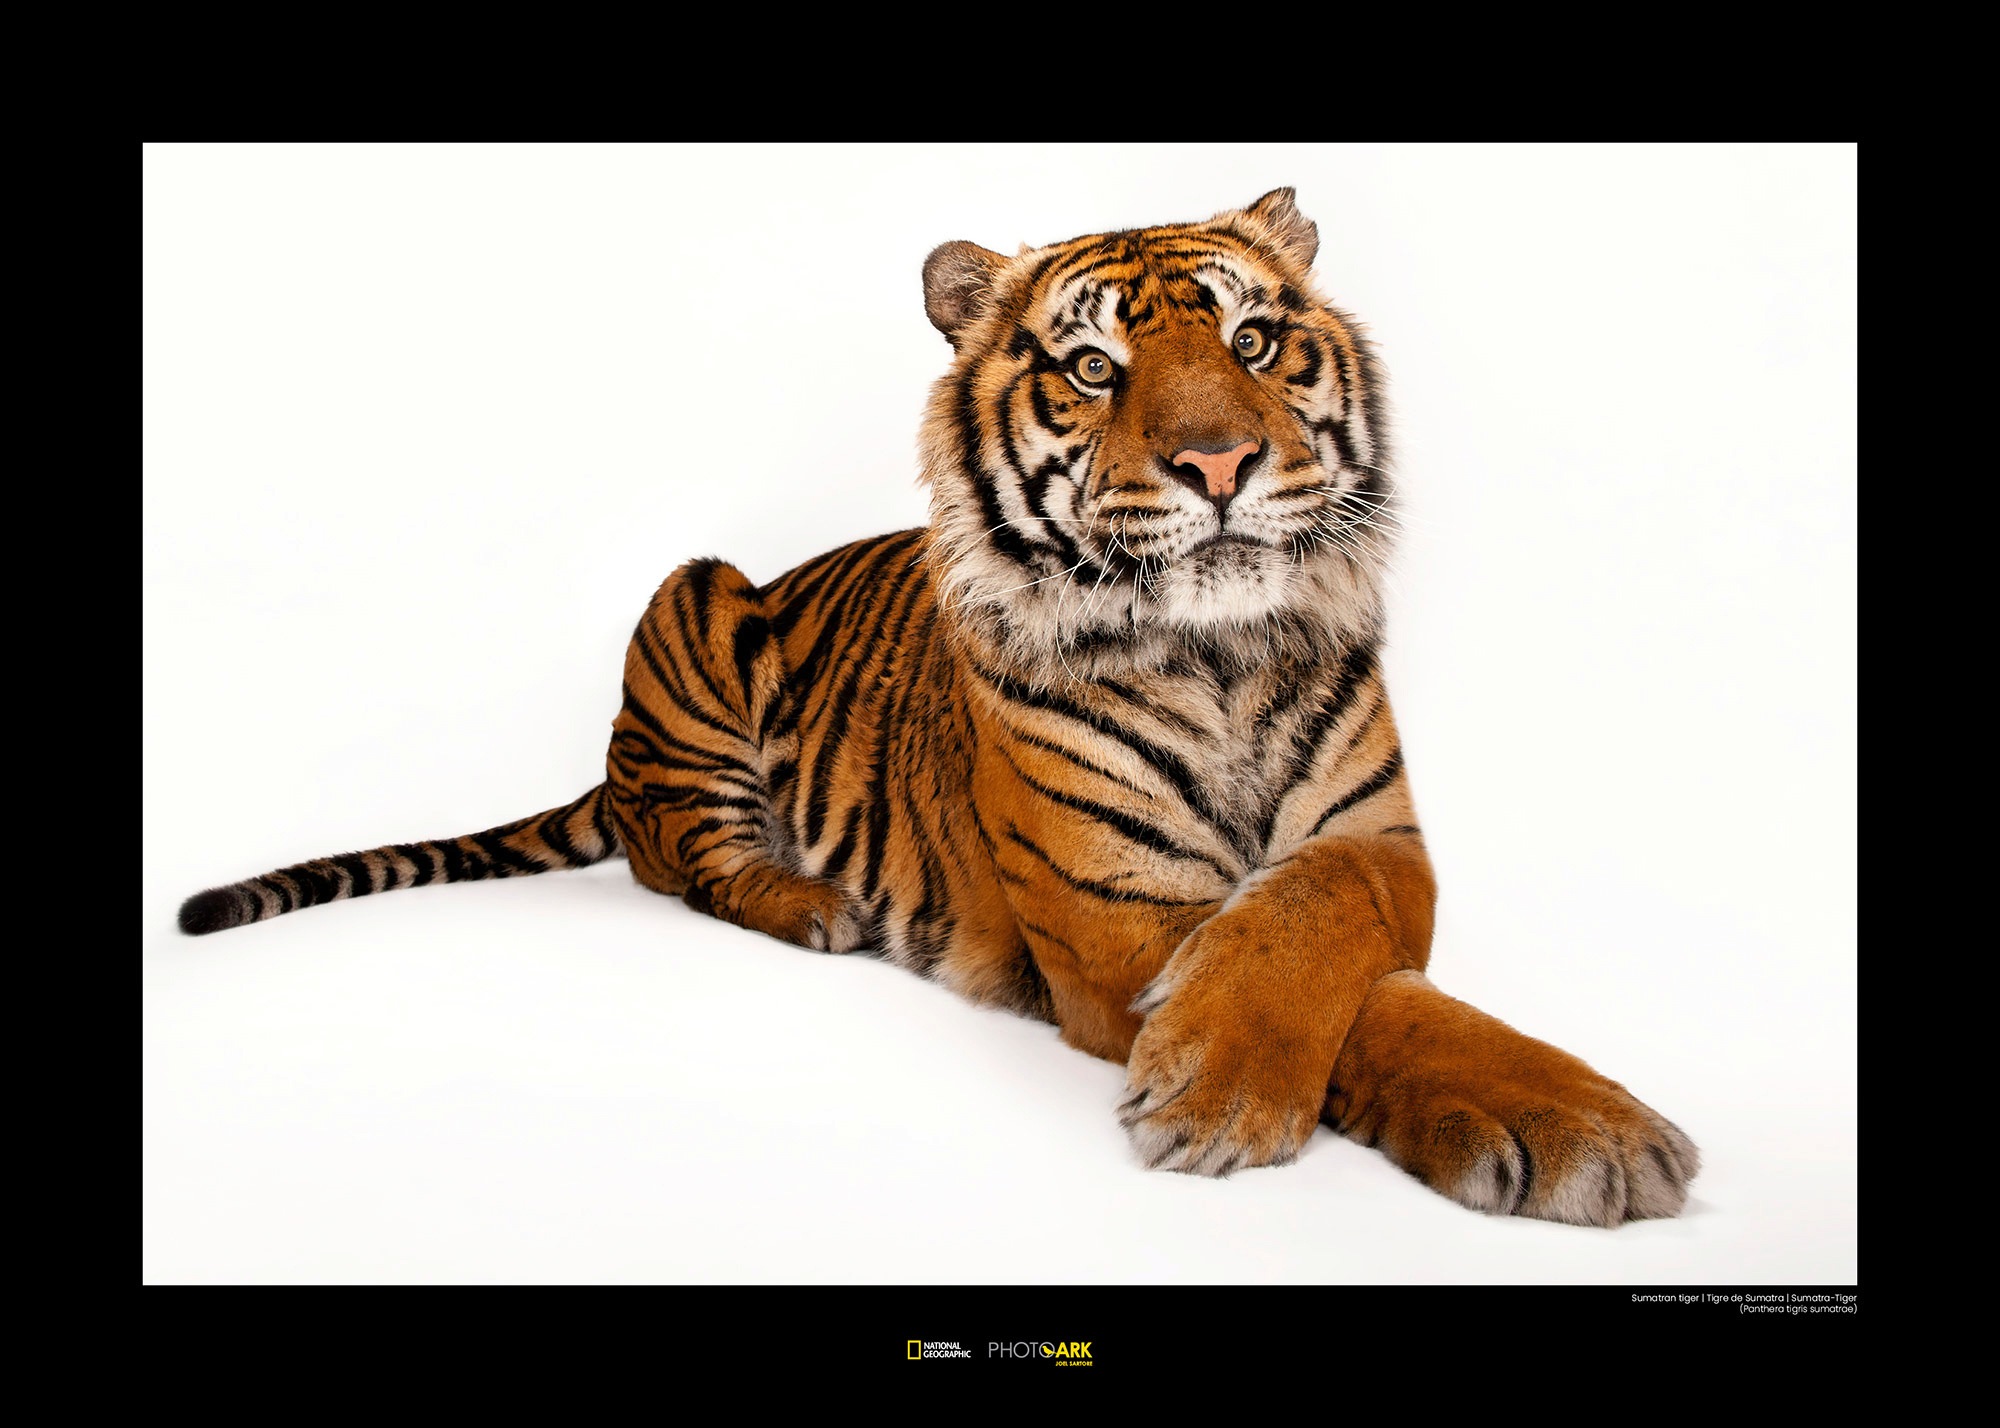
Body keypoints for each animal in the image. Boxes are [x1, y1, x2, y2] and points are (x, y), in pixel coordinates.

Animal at [178, 188, 1699, 1227]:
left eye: (1258, 342)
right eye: (1091, 369)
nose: (1219, 463)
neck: (1216, 657)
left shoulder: (1385, 849)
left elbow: (1326, 921)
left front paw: (1581, 1114)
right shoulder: (1117, 917)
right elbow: (1366, 1009)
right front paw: (1229, 1095)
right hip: (692, 594)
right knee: (684, 859)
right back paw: (809, 905)